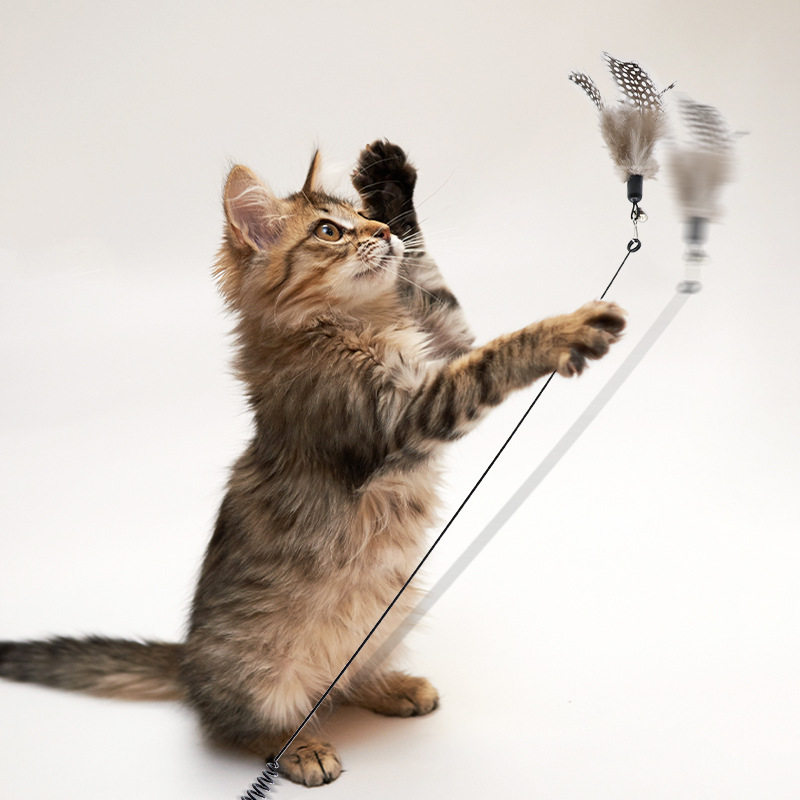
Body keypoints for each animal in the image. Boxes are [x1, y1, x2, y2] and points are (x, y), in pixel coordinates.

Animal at [0, 140, 626, 786]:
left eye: (363, 216)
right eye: (329, 231)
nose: (381, 229)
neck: (355, 324)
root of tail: (189, 662)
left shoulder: (442, 342)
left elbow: (432, 283)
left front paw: (390, 178)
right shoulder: (407, 412)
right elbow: (501, 353)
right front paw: (570, 327)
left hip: (387, 617)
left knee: (345, 681)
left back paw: (394, 687)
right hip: (263, 674)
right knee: (240, 726)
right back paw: (301, 749)